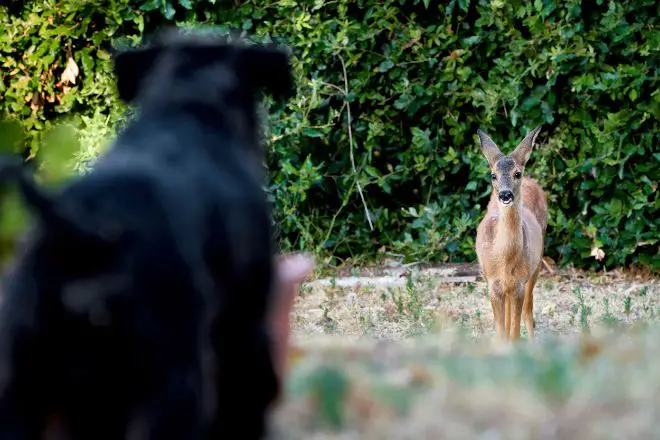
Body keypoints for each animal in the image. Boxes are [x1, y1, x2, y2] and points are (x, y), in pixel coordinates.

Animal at [474, 125, 548, 342]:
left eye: (517, 173)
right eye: (493, 175)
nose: (505, 195)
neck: (504, 259)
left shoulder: (519, 284)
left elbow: (515, 333)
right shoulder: (493, 285)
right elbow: (501, 333)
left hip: (537, 262)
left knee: (528, 310)